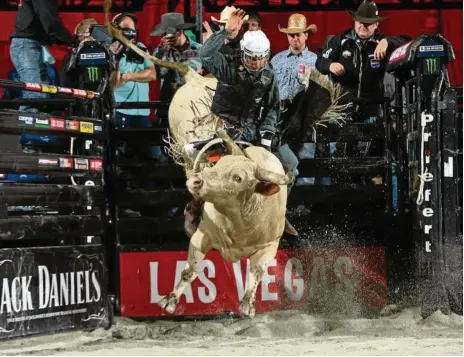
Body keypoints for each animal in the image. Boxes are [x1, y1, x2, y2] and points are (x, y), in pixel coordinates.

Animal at [104, 0, 348, 318]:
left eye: (238, 177)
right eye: (217, 164)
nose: (198, 181)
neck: (241, 220)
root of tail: (195, 76)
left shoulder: (269, 245)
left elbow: (257, 272)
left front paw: (248, 304)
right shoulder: (202, 237)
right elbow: (190, 269)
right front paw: (169, 300)